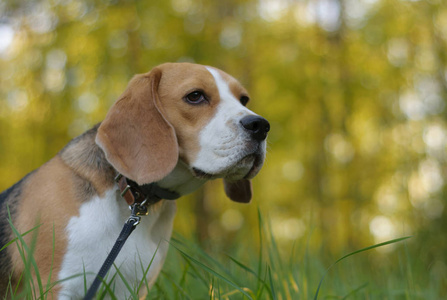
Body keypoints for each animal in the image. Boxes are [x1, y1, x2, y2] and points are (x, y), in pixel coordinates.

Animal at [0, 62, 270, 298]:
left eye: (243, 100)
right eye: (195, 96)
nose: (261, 125)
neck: (131, 198)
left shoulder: (131, 288)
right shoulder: (57, 286)